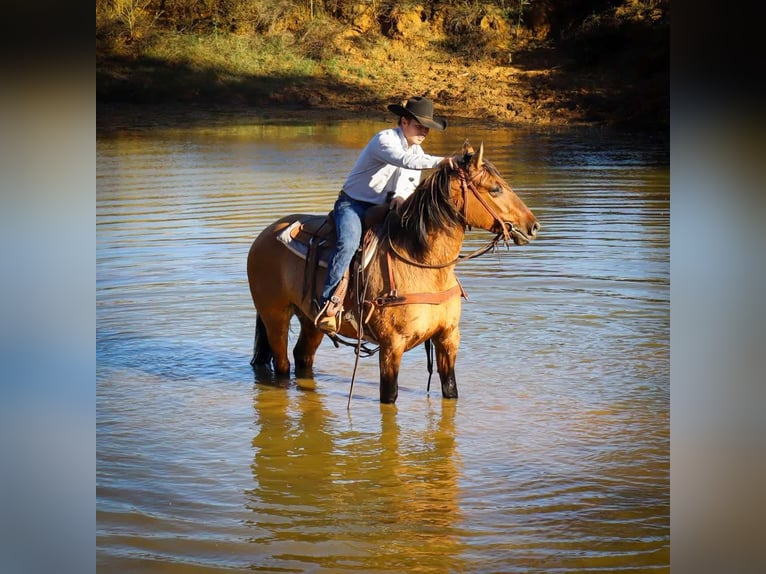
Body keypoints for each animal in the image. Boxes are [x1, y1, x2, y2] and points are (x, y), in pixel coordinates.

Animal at [247, 140, 539, 404]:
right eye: (495, 189)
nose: (533, 226)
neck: (420, 262)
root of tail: (265, 234)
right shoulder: (391, 346)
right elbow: (390, 396)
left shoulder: (448, 337)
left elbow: (451, 390)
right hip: (275, 316)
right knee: (282, 365)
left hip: (310, 321)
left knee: (303, 357)